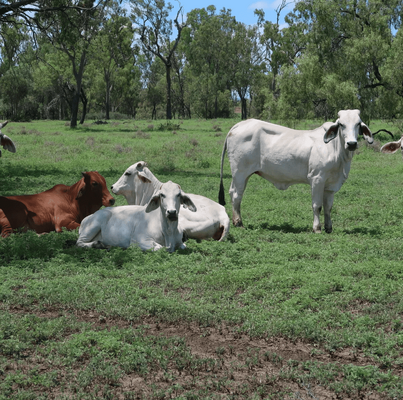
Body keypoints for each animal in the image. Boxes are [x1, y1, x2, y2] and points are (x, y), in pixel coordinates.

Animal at [219, 109, 374, 234]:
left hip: (242, 175)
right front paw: (317, 228)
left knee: (234, 193)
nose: (352, 144)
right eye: (341, 124)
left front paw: (329, 228)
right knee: (236, 195)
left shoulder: (331, 185)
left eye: (358, 124)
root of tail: (239, 125)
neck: (337, 151)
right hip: (240, 172)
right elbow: (317, 206)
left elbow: (328, 207)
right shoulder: (317, 179)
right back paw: (239, 223)